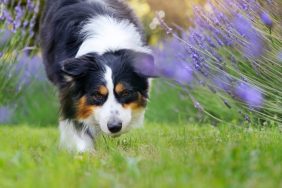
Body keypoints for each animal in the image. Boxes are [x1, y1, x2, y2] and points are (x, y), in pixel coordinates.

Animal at [39, 0, 154, 153]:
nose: (114, 127)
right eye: (97, 95)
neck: (109, 43)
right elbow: (75, 122)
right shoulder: (67, 88)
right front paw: (84, 150)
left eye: (125, 92)